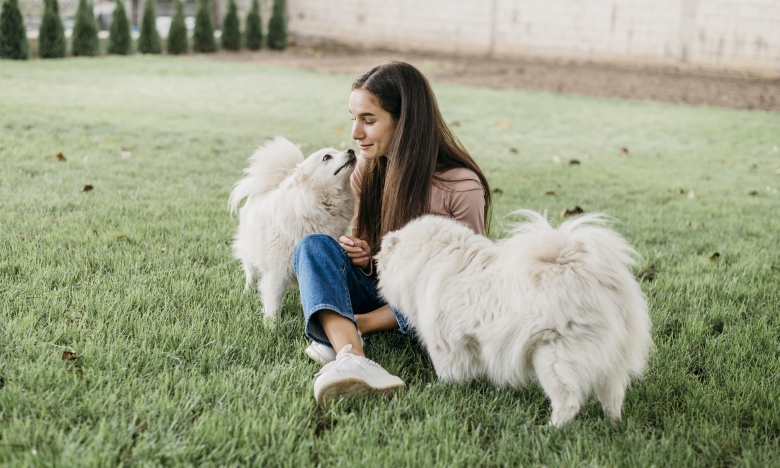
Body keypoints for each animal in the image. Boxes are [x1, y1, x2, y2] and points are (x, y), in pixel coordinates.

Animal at [229, 135, 356, 318]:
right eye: (326, 157)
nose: (351, 150)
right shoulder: (276, 272)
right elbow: (273, 303)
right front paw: (271, 324)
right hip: (249, 251)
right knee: (250, 272)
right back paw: (248, 290)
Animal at [376, 212, 652, 428]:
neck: (431, 259)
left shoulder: (445, 344)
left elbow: (449, 372)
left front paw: (440, 389)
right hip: (610, 362)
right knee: (614, 397)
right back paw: (613, 425)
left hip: (553, 360)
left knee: (569, 402)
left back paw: (549, 430)